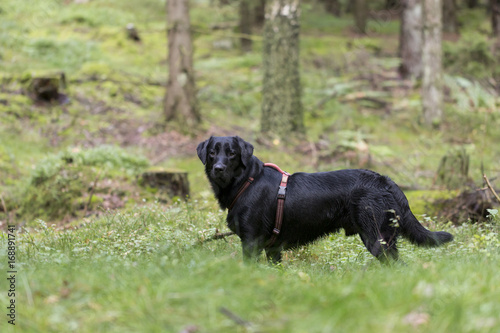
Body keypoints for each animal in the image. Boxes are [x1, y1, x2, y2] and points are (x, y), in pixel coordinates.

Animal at [196, 135, 454, 262]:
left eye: (232, 153)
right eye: (212, 152)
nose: (218, 168)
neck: (246, 181)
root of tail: (385, 181)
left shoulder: (251, 242)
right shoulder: (273, 248)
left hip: (376, 235)